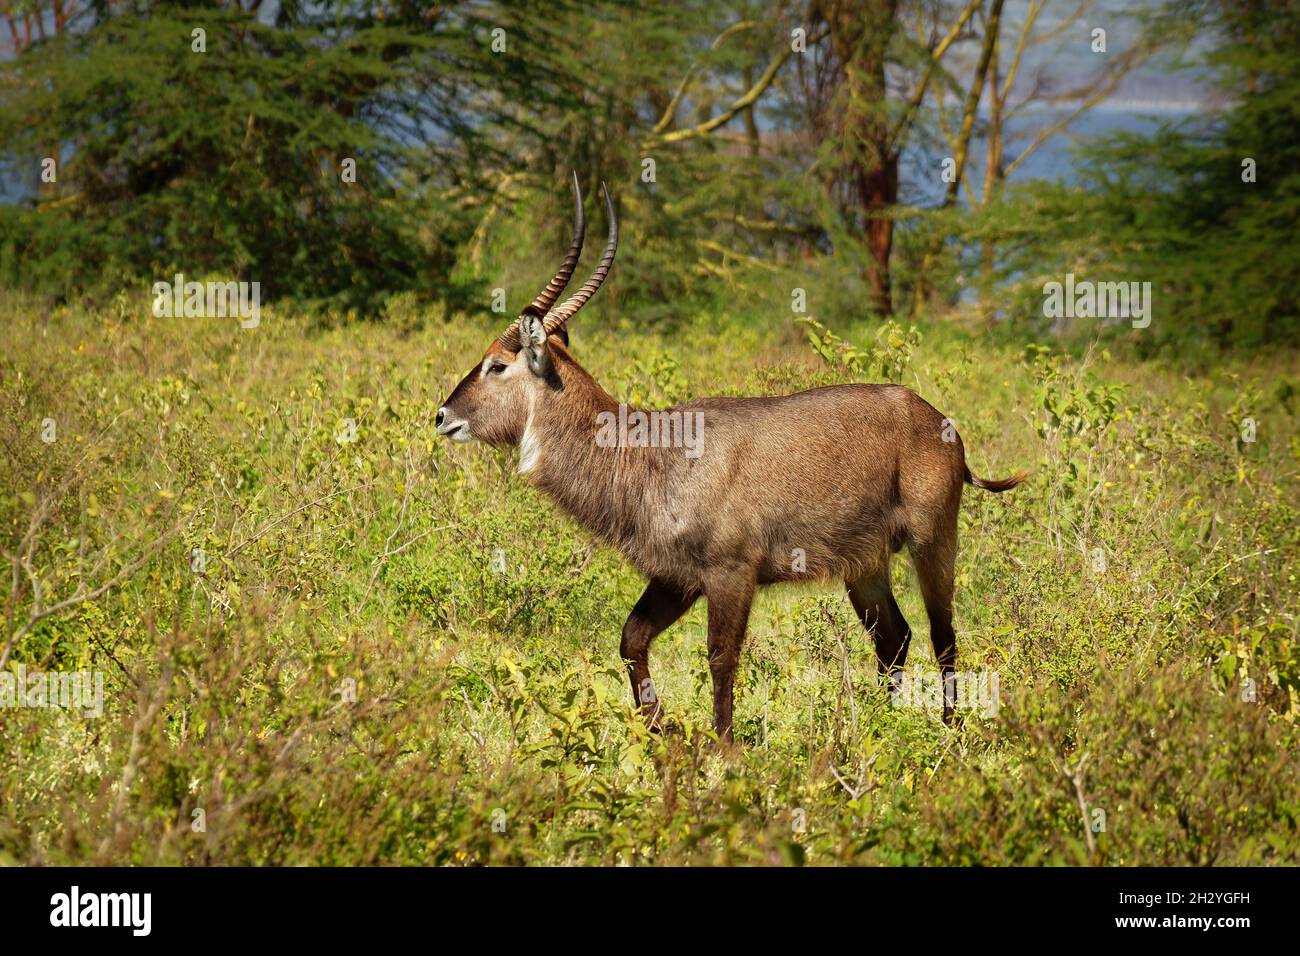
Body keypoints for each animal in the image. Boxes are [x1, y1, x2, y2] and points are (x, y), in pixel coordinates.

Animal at [436, 179, 1024, 738]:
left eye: (495, 365)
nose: (442, 415)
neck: (651, 455)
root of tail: (937, 419)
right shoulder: (675, 578)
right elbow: (630, 639)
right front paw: (660, 727)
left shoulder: (730, 574)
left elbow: (721, 658)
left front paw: (724, 746)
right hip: (866, 563)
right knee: (895, 639)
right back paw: (884, 727)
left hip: (933, 541)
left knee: (942, 635)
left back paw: (947, 731)